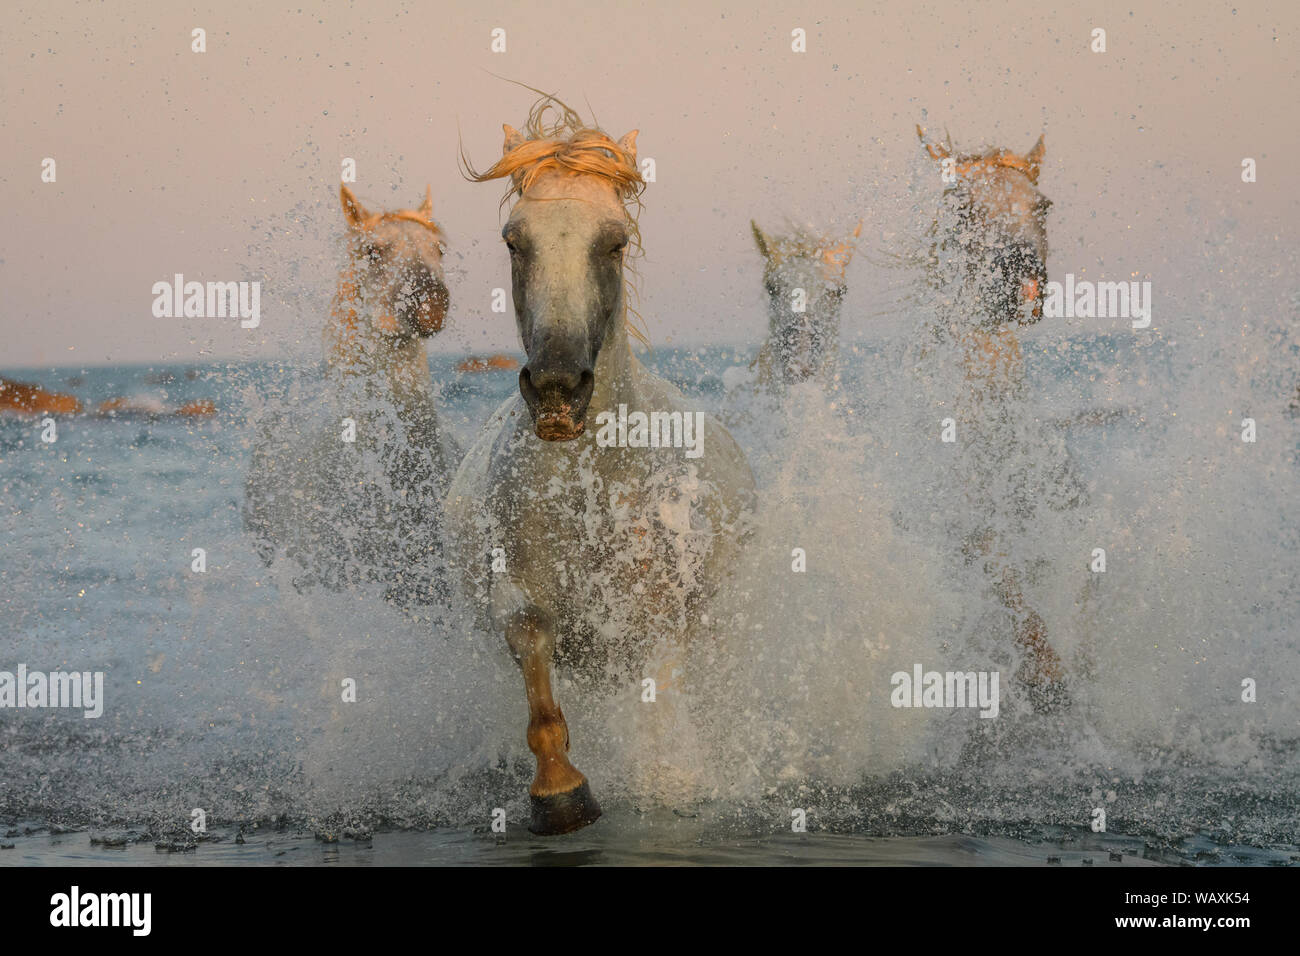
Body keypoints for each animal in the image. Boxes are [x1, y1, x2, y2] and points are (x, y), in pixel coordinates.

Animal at [449, 97, 757, 834]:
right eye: (514, 240)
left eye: (614, 242)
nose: (558, 390)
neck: (593, 492)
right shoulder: (519, 601)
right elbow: (536, 670)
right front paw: (561, 795)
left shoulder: (658, 619)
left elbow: (658, 705)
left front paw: (665, 784)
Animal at [916, 126, 1080, 712]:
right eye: (963, 208)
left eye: (1044, 205)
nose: (1019, 280)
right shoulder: (978, 539)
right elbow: (1007, 587)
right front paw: (1046, 674)